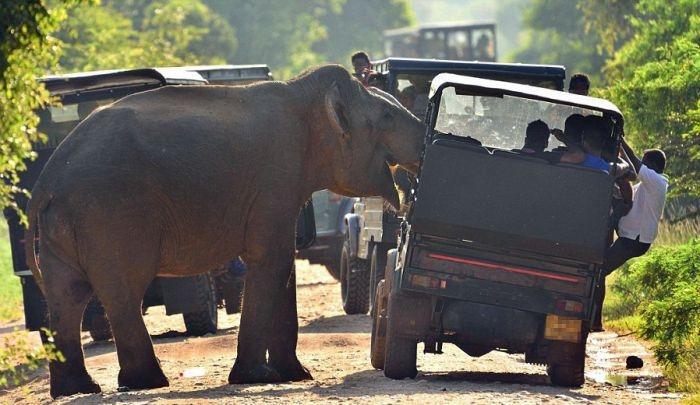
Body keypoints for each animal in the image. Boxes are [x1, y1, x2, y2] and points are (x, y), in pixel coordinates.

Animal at [24, 64, 424, 396]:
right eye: (387, 116)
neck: (303, 95)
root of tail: (47, 178)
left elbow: (283, 264)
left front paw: (295, 375)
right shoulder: (276, 178)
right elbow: (271, 260)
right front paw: (257, 377)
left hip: (66, 224)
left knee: (67, 295)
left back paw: (78, 389)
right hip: (110, 212)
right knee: (121, 290)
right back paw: (146, 383)